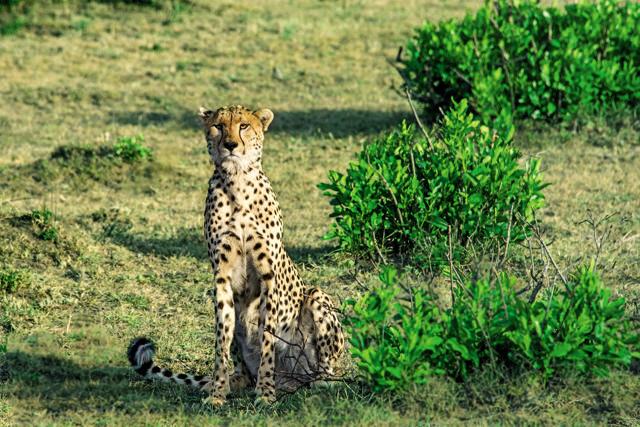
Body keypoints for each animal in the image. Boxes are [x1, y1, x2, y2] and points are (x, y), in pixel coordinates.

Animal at [128, 105, 345, 405]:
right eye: (218, 126)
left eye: (243, 126)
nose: (230, 145)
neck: (237, 182)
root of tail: (292, 379)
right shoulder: (221, 276)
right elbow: (222, 337)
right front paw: (218, 393)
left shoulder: (268, 276)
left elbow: (267, 338)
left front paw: (265, 393)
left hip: (317, 297)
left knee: (325, 367)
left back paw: (320, 382)